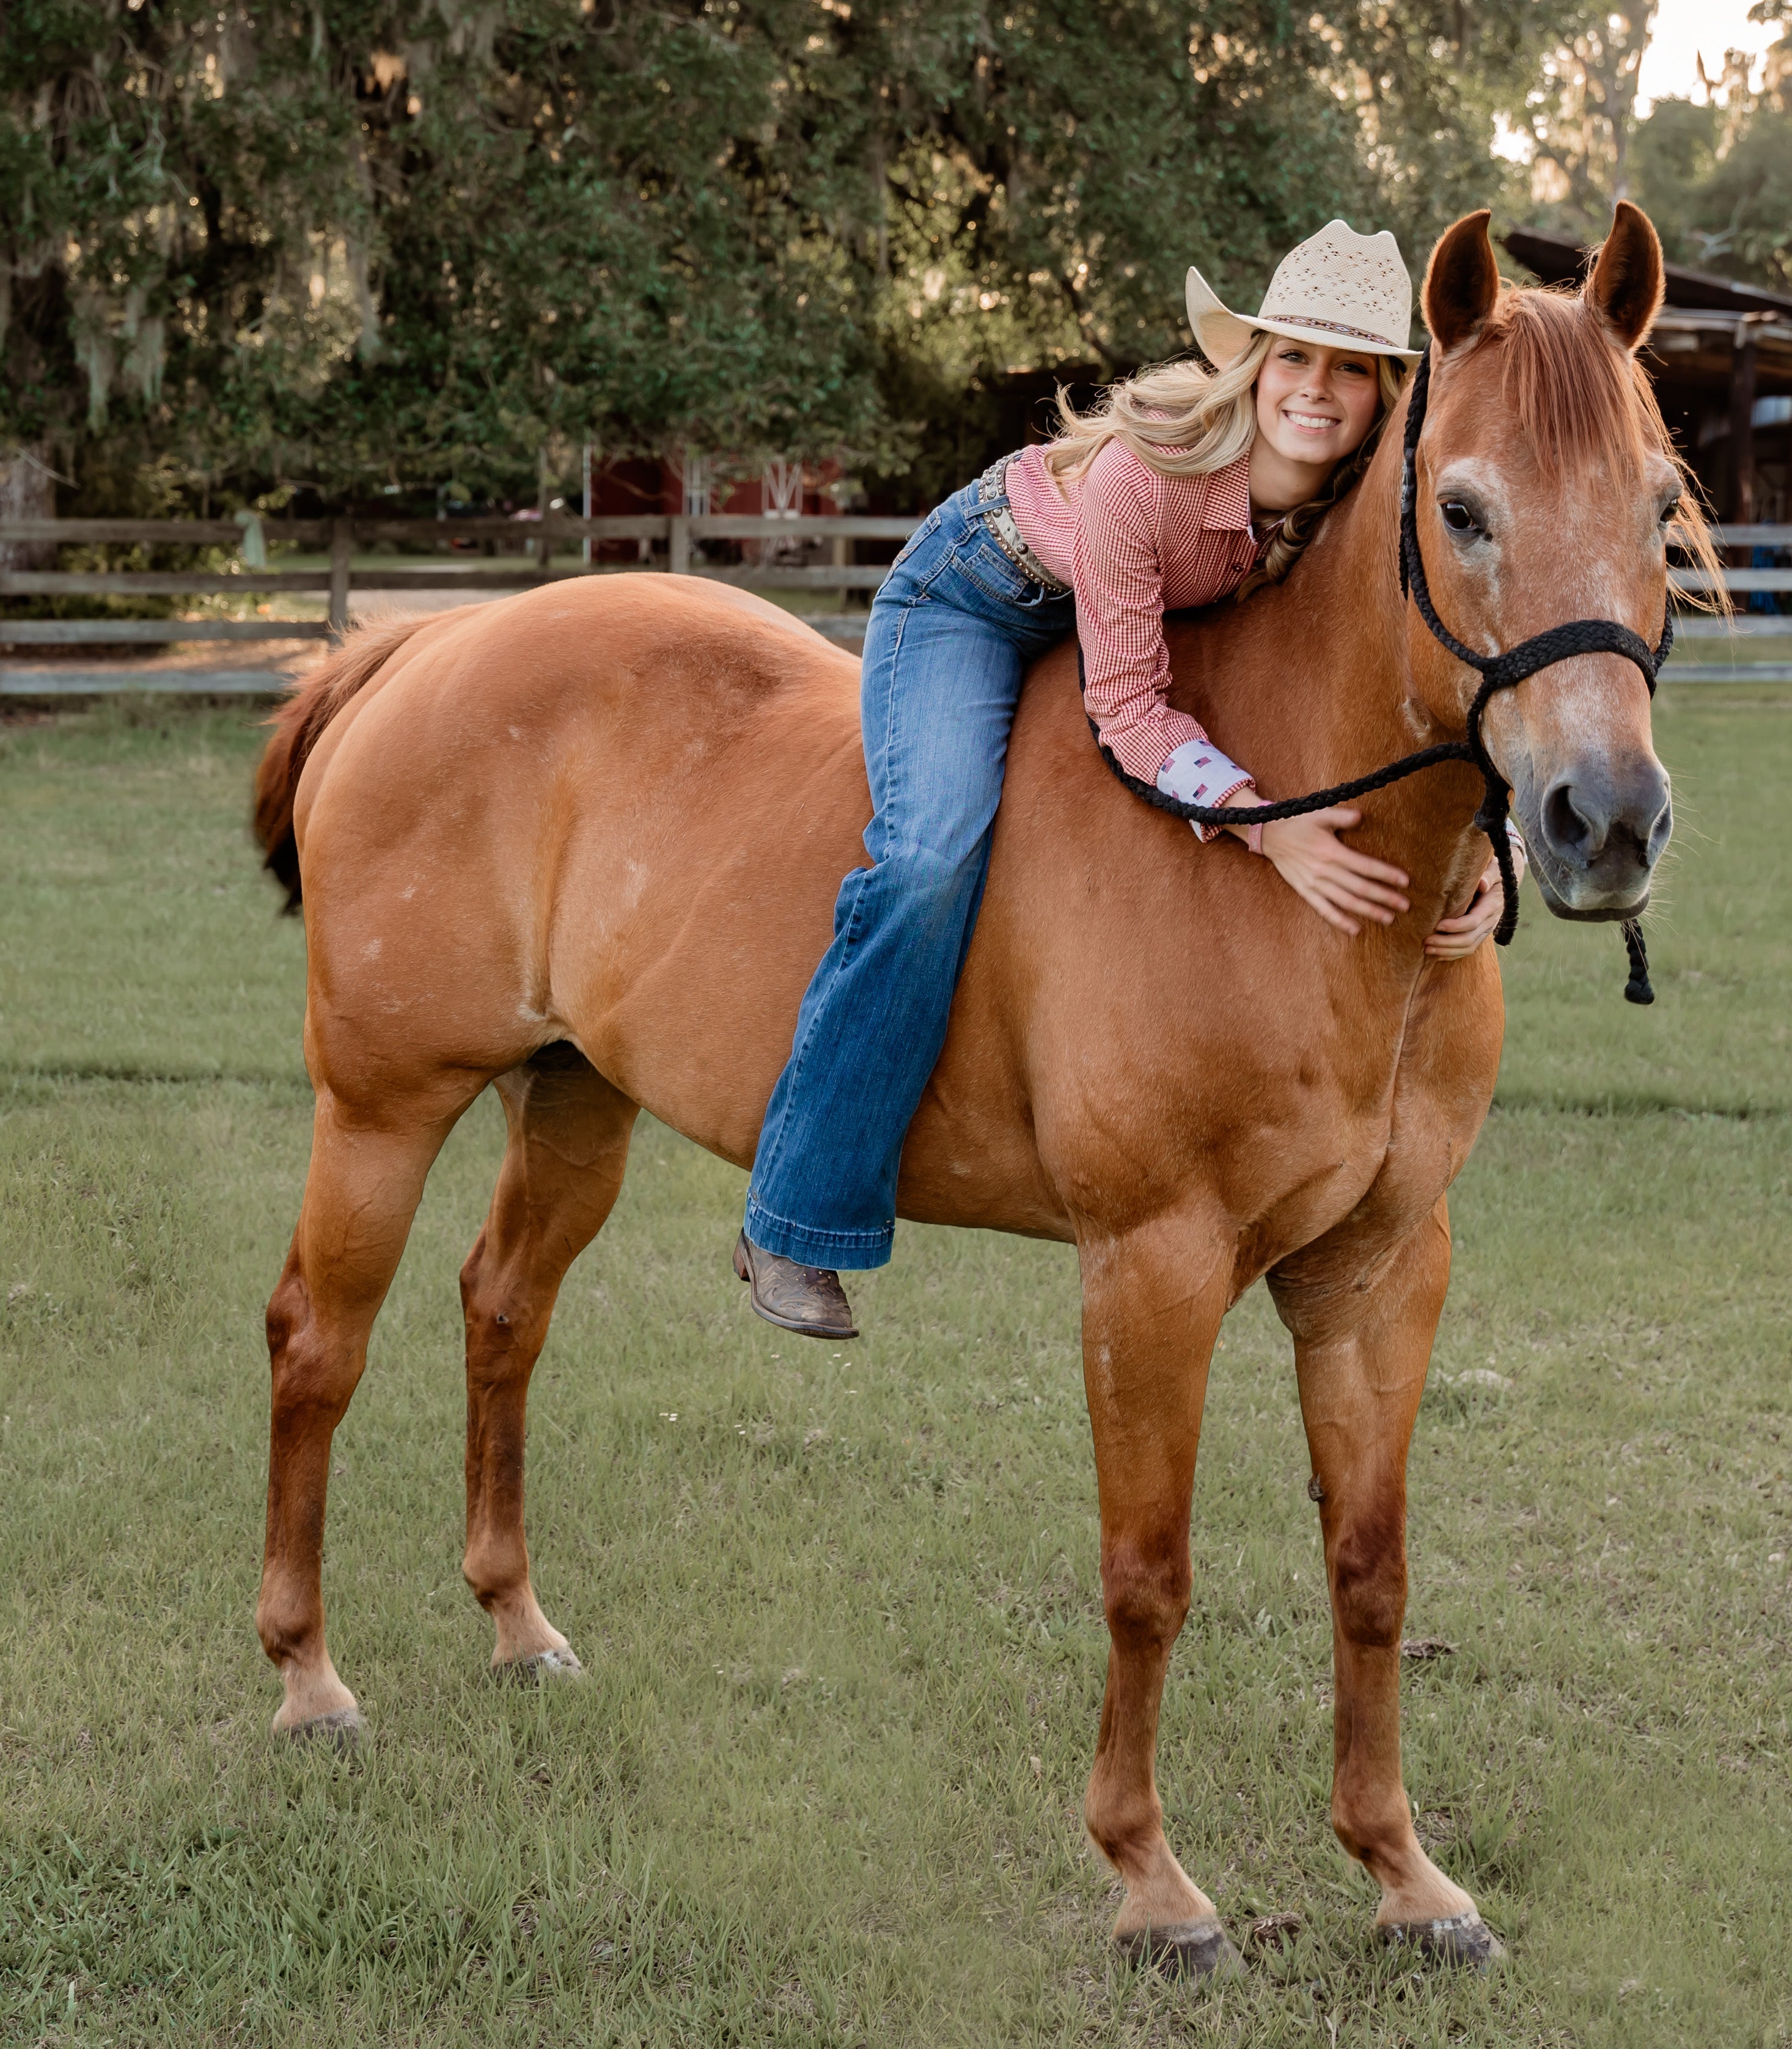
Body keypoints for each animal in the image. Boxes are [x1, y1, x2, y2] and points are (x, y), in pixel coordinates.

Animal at [249, 204, 1695, 1971]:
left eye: (1658, 506)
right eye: (1462, 509)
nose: (1600, 821)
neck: (1284, 863)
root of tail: (418, 646)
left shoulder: (1375, 1273)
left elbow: (1368, 1567)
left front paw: (1400, 1871)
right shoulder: (1151, 1268)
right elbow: (1147, 1570)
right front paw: (1148, 1875)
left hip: (573, 1104)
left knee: (500, 1315)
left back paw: (518, 1627)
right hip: (380, 1112)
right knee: (318, 1347)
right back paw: (308, 1678)